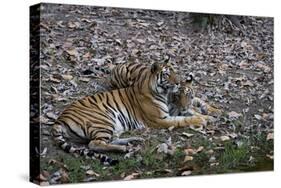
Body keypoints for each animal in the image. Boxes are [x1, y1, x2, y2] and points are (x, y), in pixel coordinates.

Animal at [52, 62, 206, 164]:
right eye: (167, 74)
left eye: (175, 72)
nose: (179, 82)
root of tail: (59, 120)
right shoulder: (160, 119)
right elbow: (181, 119)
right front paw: (202, 120)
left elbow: (187, 112)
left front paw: (205, 115)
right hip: (103, 120)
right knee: (95, 144)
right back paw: (125, 149)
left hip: (112, 125)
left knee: (110, 140)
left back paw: (134, 141)